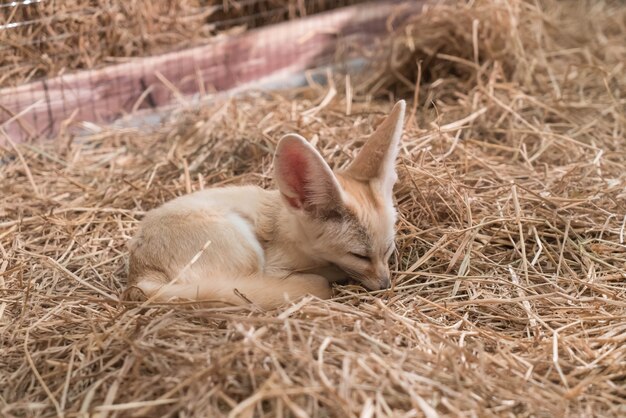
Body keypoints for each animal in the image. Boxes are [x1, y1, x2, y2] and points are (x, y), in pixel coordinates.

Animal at [127, 100, 404, 308]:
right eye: (359, 256)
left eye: (388, 250)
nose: (385, 285)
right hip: (245, 249)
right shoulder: (275, 268)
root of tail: (139, 275)